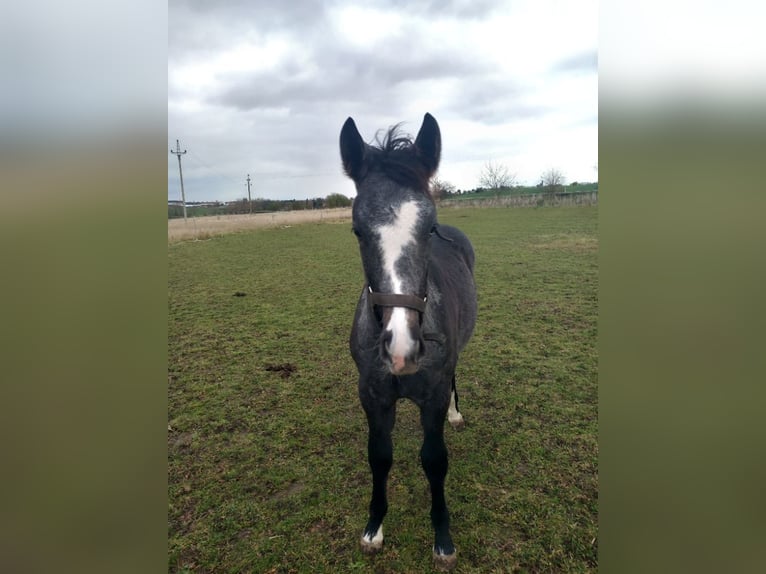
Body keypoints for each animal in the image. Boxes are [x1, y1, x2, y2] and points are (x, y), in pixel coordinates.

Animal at [340, 112, 476, 572]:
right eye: (357, 230)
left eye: (428, 227)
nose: (401, 348)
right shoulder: (373, 395)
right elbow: (379, 456)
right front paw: (373, 529)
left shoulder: (431, 395)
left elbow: (434, 461)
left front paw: (443, 540)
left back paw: (456, 414)